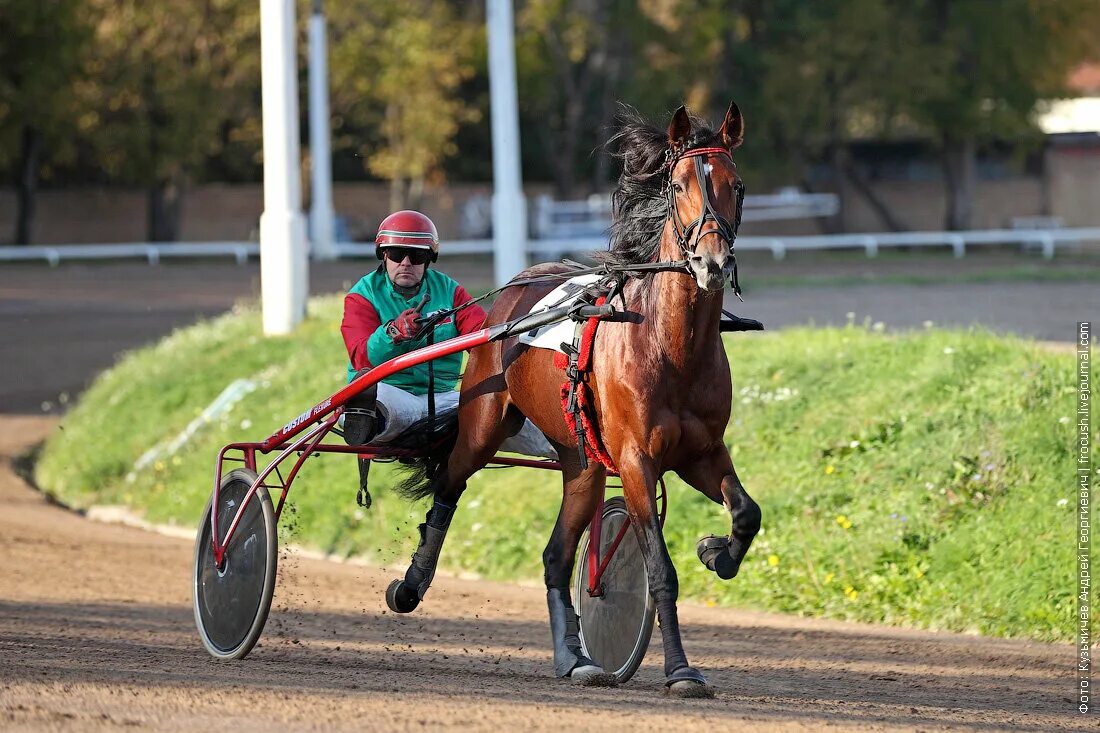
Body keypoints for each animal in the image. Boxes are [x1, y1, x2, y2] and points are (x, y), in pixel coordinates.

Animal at [385, 101, 756, 691]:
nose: (712, 264)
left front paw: (717, 551)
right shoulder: (636, 460)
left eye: (736, 185)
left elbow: (746, 512)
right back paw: (411, 585)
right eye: (677, 185)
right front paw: (679, 669)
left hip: (581, 463)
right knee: (448, 484)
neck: (667, 343)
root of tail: (514, 288)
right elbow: (661, 571)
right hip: (484, 425)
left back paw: (574, 658)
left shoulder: (702, 452)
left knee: (556, 557)